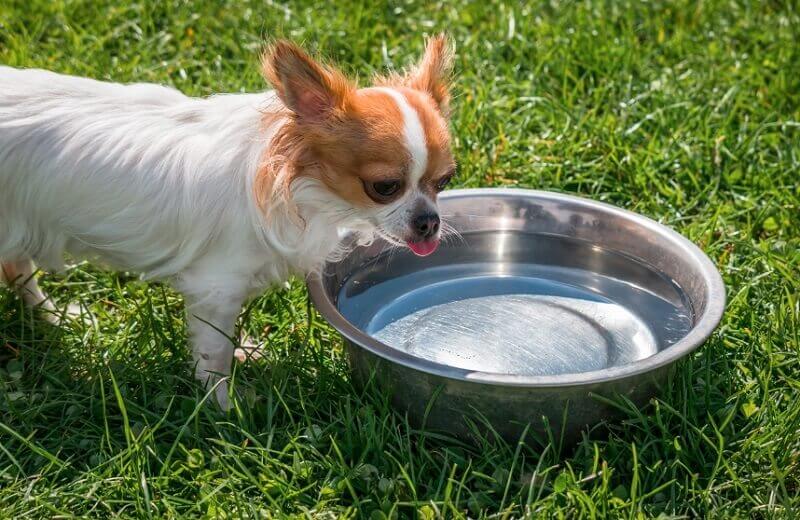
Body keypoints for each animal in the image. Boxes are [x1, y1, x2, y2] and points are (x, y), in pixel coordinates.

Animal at [0, 36, 456, 410]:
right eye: (385, 187)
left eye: (444, 181)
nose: (429, 222)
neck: (301, 185)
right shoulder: (217, 286)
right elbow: (213, 350)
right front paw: (224, 405)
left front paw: (241, 359)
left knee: (17, 269)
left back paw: (56, 317)